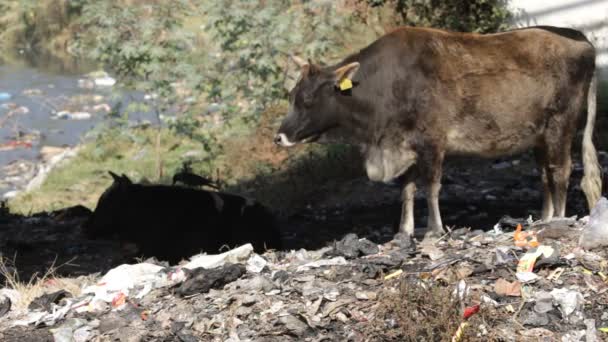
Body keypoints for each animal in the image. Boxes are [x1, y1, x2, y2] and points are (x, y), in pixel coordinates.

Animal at [276, 25, 604, 242]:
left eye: (308, 100)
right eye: (291, 96)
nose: (279, 136)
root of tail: (582, 39)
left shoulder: (431, 141)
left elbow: (431, 187)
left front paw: (434, 229)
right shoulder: (404, 146)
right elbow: (407, 190)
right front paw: (405, 230)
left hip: (561, 124)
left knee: (560, 171)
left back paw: (558, 219)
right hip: (539, 135)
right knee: (545, 175)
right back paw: (545, 217)